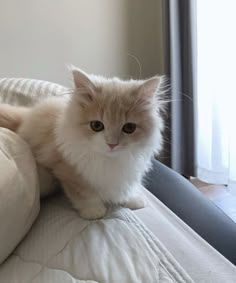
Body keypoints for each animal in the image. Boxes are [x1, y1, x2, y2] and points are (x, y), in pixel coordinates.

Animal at [0, 67, 164, 221]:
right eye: (96, 126)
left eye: (129, 128)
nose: (112, 144)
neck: (109, 160)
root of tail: (26, 115)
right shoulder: (69, 171)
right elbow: (84, 194)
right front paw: (94, 211)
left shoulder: (130, 170)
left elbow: (127, 186)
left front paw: (132, 199)